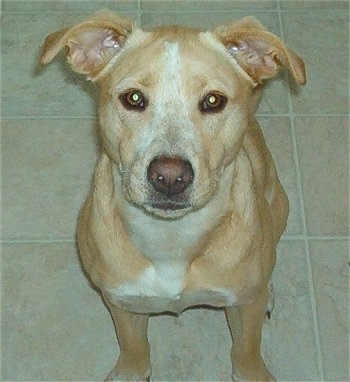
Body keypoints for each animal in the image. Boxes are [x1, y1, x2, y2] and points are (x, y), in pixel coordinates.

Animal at [40, 9, 304, 382]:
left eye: (213, 101)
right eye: (133, 98)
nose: (169, 177)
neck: (172, 237)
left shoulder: (243, 310)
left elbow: (246, 353)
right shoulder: (123, 303)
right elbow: (135, 350)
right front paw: (130, 372)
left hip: (279, 205)